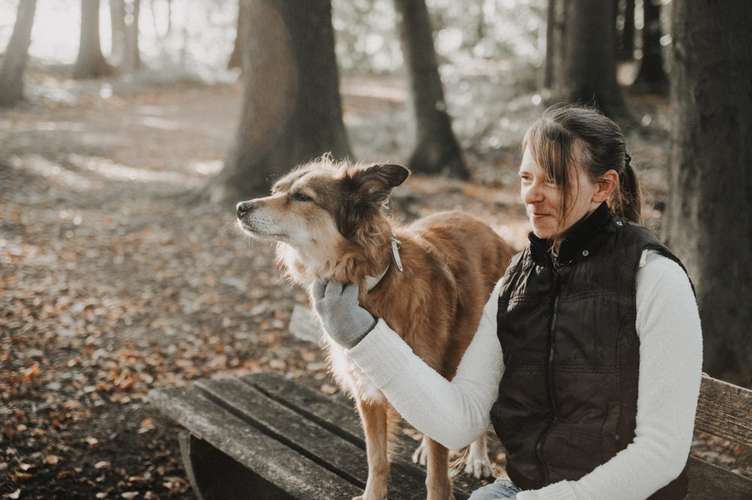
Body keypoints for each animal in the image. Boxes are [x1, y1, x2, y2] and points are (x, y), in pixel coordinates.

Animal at [236, 156, 516, 500]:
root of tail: (484, 225)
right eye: (277, 190)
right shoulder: (366, 391)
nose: (240, 207)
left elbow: (437, 478)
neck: (365, 285)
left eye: (302, 197)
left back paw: (477, 458)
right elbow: (377, 458)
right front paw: (374, 493)